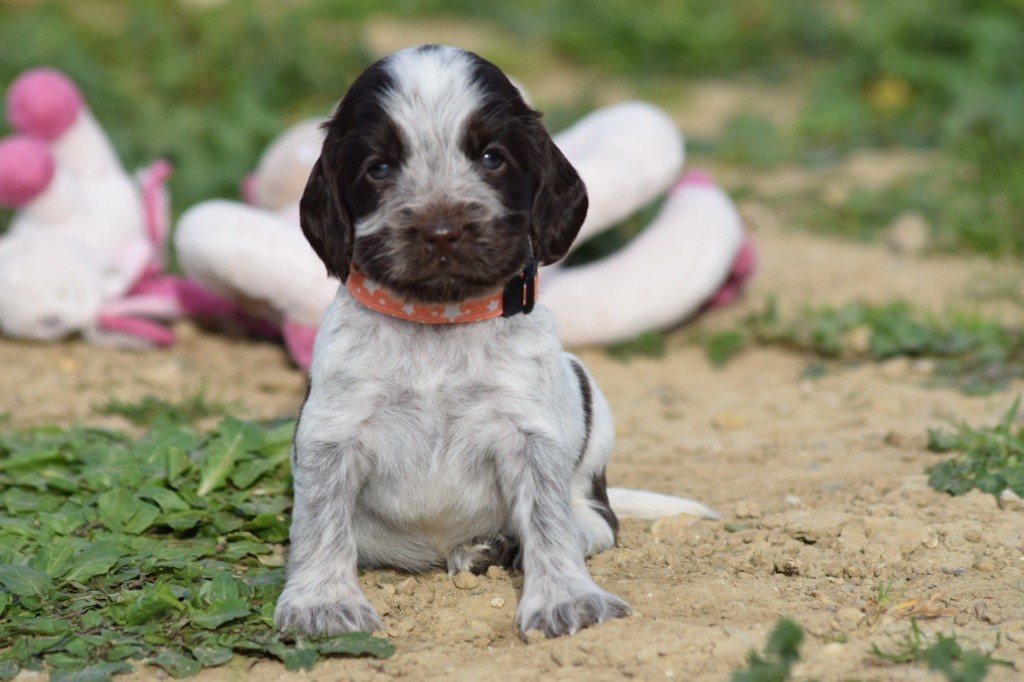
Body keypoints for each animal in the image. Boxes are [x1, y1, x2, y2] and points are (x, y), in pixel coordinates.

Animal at [274, 46, 704, 638]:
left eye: (492, 158)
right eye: (378, 168)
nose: (442, 231)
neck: (439, 319)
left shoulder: (528, 432)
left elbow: (548, 520)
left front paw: (565, 597)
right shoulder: (333, 434)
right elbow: (320, 521)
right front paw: (322, 601)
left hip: (590, 408)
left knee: (595, 517)